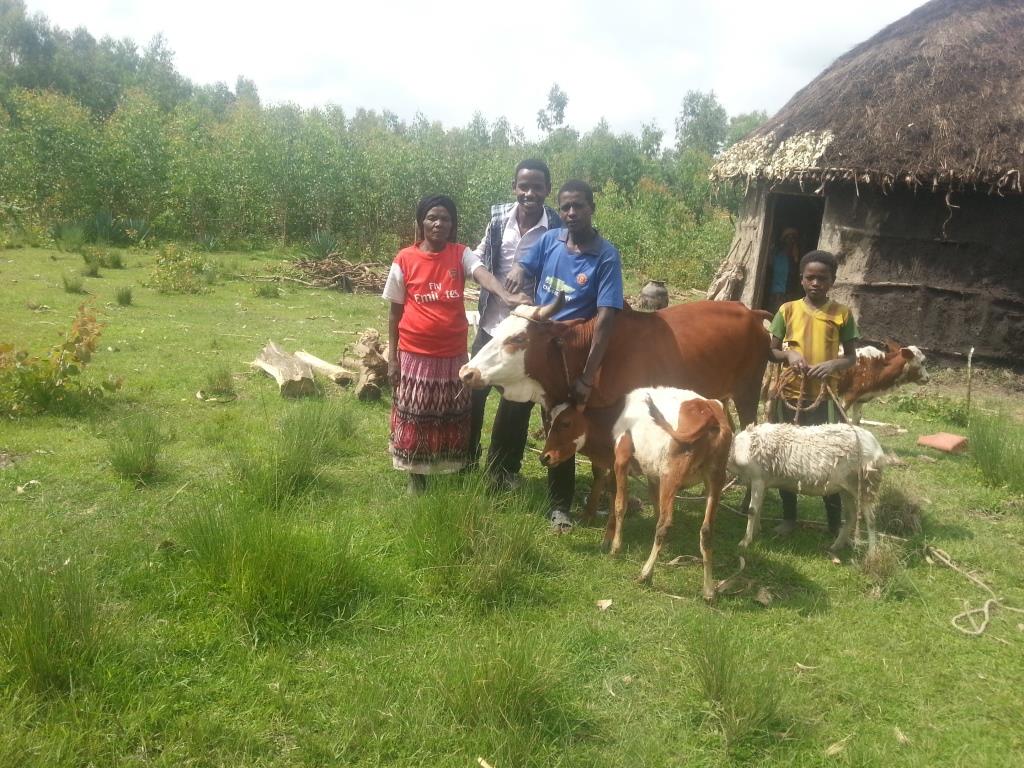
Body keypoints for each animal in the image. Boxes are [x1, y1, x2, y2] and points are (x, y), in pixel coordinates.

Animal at [540, 387, 733, 598]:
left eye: (566, 423)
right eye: (549, 421)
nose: (544, 457)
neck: (615, 418)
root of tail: (710, 413)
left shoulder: (621, 461)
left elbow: (619, 505)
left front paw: (615, 547)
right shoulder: (649, 474)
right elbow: (635, 502)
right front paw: (607, 540)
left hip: (671, 475)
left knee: (665, 523)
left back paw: (645, 574)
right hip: (716, 478)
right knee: (706, 530)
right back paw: (708, 590)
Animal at [729, 423, 888, 557]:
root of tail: (877, 449)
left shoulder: (757, 478)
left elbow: (752, 510)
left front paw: (745, 541)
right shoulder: (764, 482)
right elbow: (759, 509)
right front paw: (756, 531)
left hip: (865, 484)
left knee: (870, 519)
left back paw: (871, 554)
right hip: (846, 487)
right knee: (851, 516)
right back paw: (835, 546)